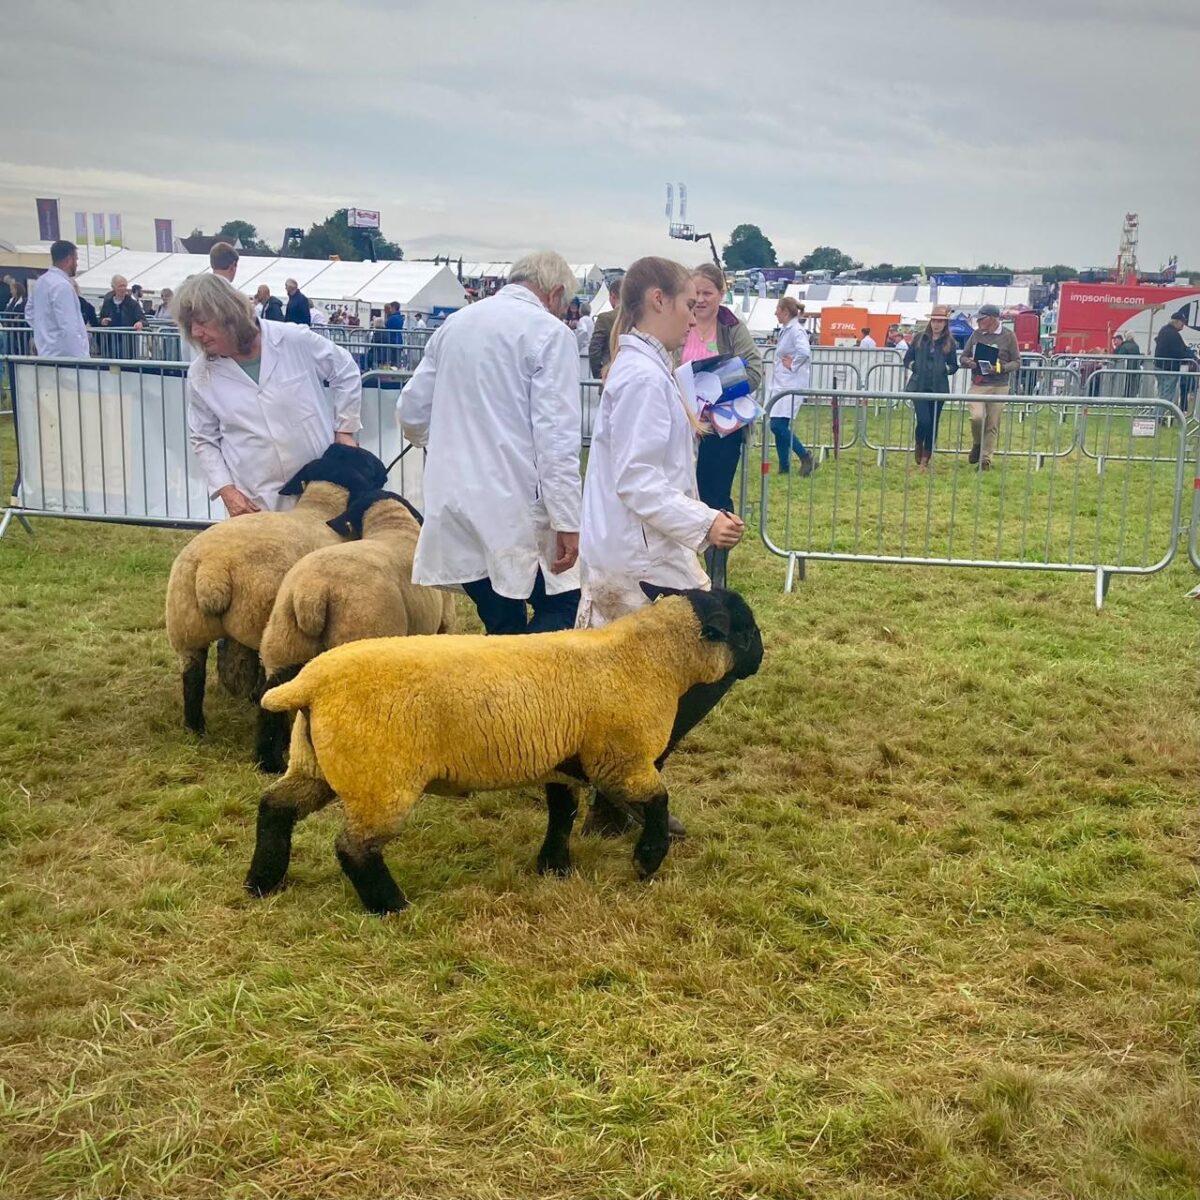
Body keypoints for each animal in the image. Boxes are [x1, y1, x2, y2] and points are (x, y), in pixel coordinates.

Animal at [163, 446, 384, 753]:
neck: (319, 511)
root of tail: (212, 569)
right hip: (266, 627)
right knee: (268, 689)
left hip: (186, 626)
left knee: (192, 678)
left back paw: (196, 730)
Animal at [247, 585, 763, 912]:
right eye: (746, 628)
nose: (759, 658)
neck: (649, 658)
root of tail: (309, 683)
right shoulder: (622, 760)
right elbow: (657, 801)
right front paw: (646, 860)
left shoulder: (562, 763)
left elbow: (561, 814)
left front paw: (553, 867)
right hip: (380, 781)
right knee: (353, 848)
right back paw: (391, 905)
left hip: (315, 765)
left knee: (275, 807)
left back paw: (262, 882)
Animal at [255, 489, 456, 763]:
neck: (394, 527)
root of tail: (312, 592)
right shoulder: (445, 620)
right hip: (359, 636)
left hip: (283, 642)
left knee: (270, 700)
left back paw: (270, 762)